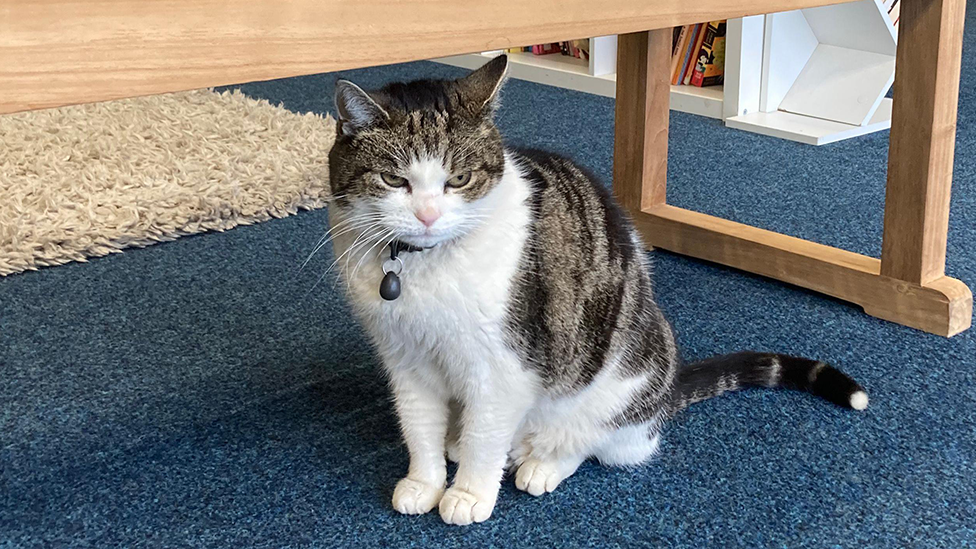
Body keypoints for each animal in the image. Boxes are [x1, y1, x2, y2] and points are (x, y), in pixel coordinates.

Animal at [324, 56, 864, 528]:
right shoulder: (404, 358)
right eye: (393, 179)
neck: (422, 267)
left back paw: (540, 462)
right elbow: (418, 427)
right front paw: (425, 483)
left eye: (459, 178)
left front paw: (468, 494)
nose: (428, 215)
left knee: (596, 444)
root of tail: (668, 387)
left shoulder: (503, 366)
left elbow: (484, 437)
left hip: (620, 381)